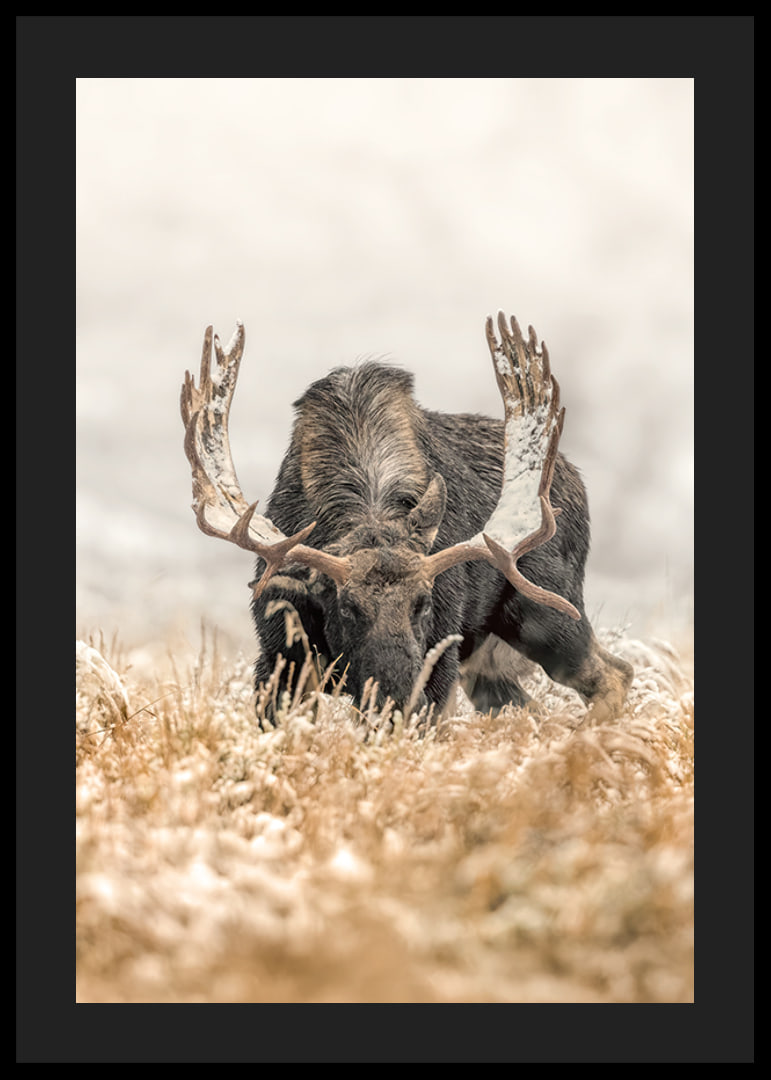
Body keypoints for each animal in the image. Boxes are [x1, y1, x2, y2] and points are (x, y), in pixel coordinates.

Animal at [181, 312, 633, 726]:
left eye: (423, 603)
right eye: (346, 607)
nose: (398, 694)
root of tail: (574, 480)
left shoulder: (441, 659)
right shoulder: (281, 656)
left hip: (547, 613)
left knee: (616, 673)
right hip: (489, 663)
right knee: (533, 708)